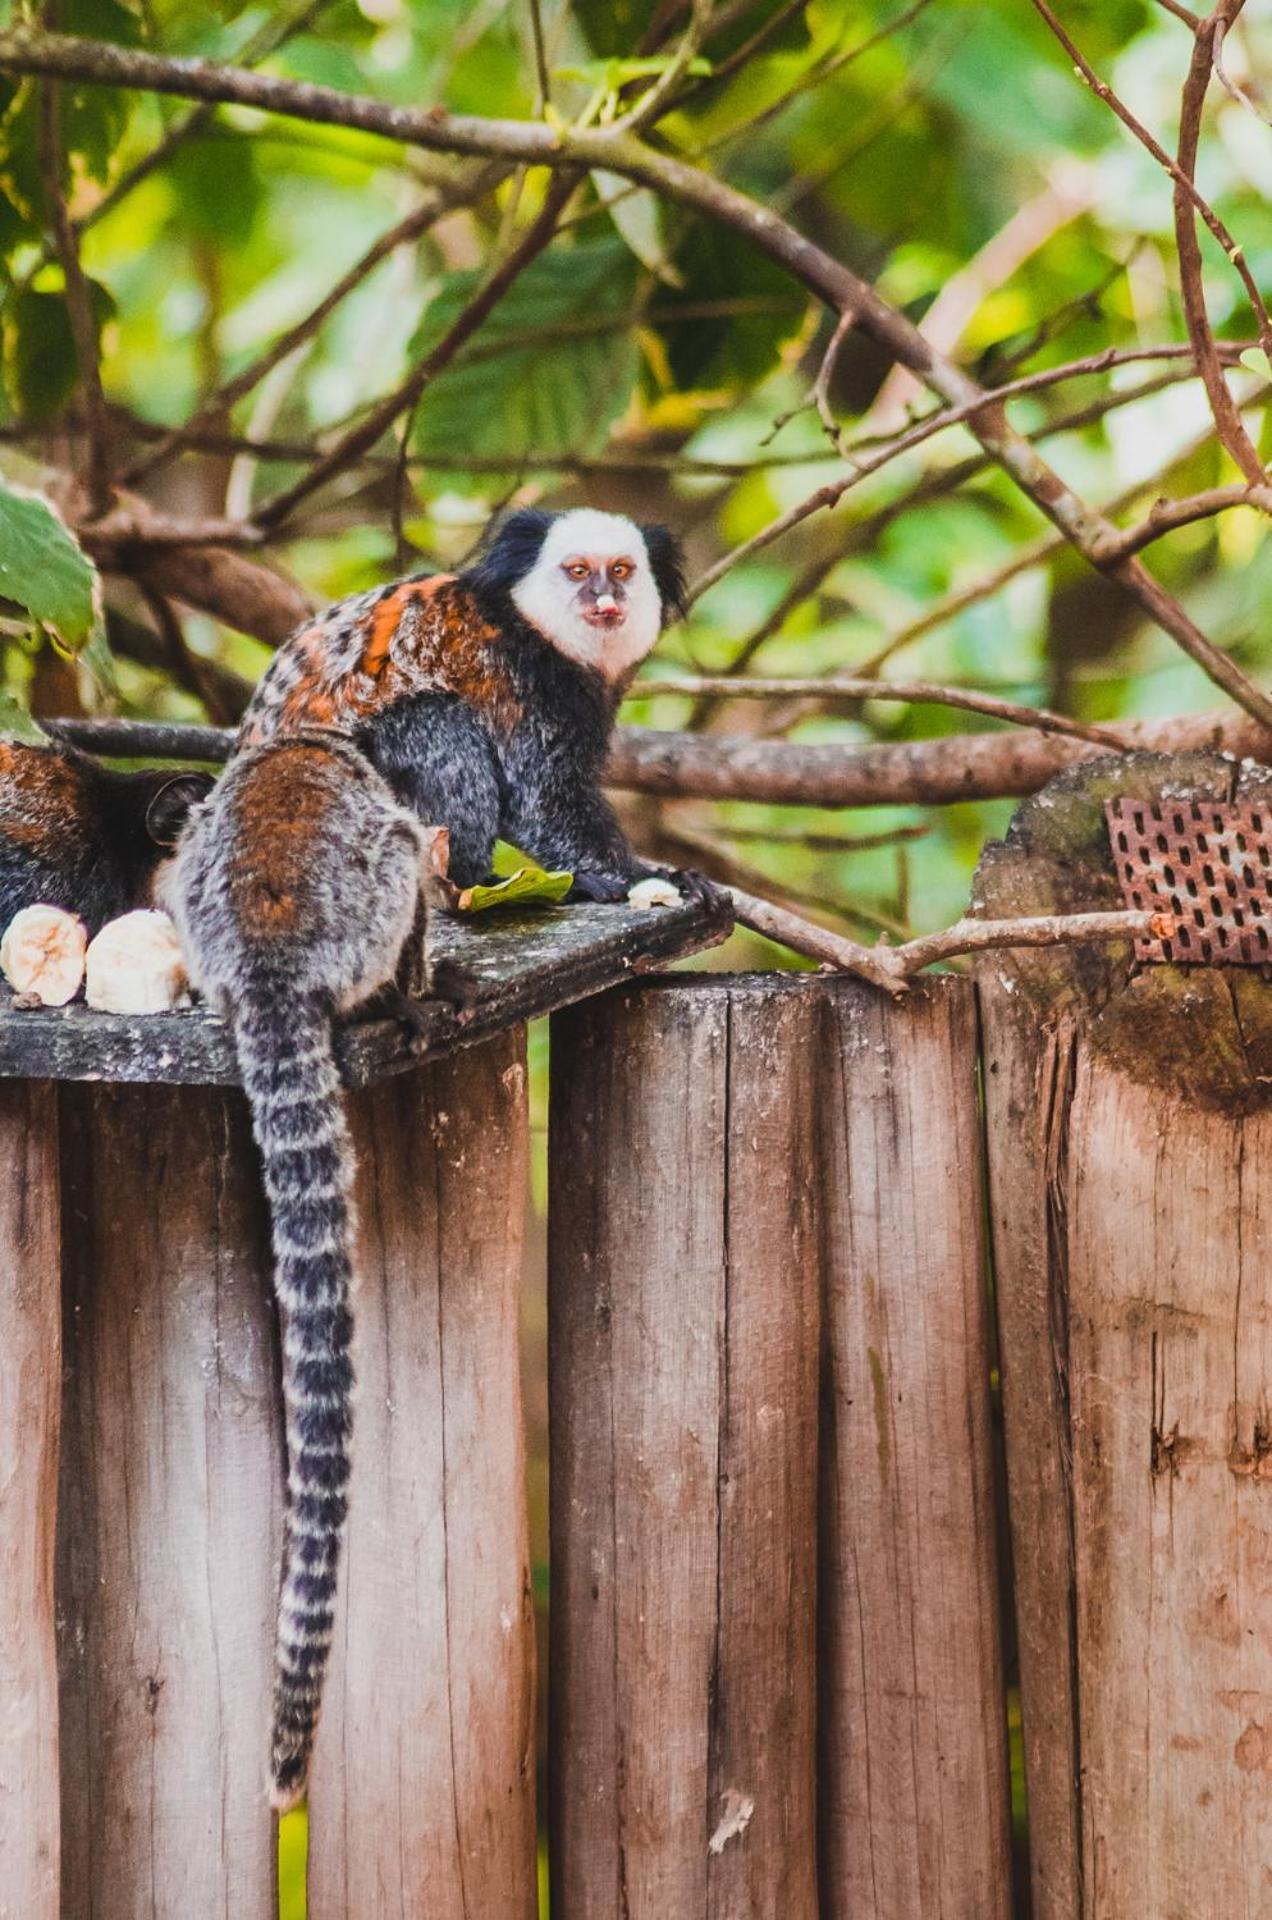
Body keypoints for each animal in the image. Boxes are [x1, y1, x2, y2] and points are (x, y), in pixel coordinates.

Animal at [163, 725, 447, 1804]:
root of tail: (269, 953)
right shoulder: (394, 816)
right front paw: (428, 981)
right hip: (364, 901)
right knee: (397, 877)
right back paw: (394, 1002)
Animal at [239, 503, 726, 906]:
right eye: (579, 571)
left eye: (621, 570)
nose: (604, 596)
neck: (536, 627)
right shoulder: (526, 678)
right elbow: (541, 800)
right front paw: (644, 878)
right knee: (436, 720)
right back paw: (472, 883)